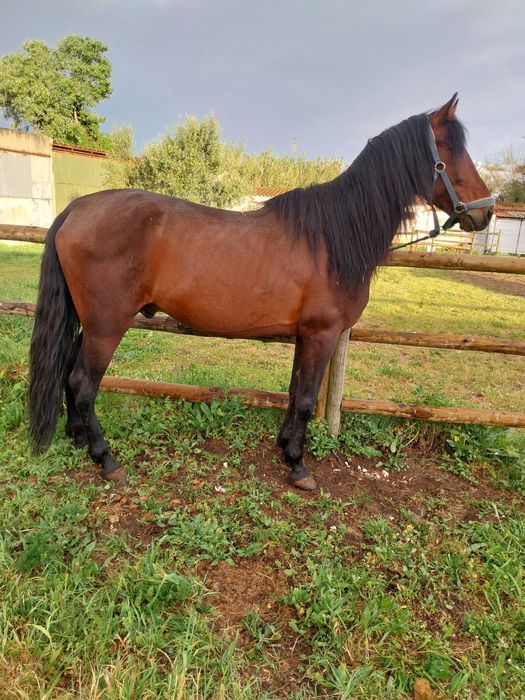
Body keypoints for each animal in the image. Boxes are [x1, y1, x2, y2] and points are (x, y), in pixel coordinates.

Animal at [28, 94, 494, 490]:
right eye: (449, 153)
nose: (486, 212)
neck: (331, 238)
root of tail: (76, 209)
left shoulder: (305, 336)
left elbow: (293, 392)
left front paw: (285, 447)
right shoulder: (322, 334)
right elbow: (306, 399)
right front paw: (299, 466)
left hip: (89, 323)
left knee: (70, 375)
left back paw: (77, 439)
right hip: (107, 326)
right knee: (84, 383)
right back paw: (105, 458)